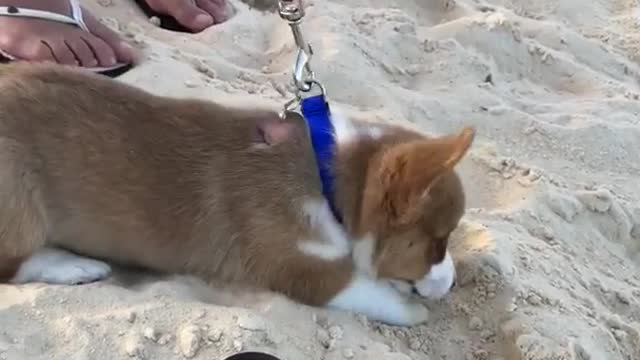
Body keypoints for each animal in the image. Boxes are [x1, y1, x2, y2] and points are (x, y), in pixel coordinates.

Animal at [0, 64, 470, 326]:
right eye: (436, 241)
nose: (451, 285)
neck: (328, 177)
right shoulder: (303, 271)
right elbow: (368, 291)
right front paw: (412, 309)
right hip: (18, 197)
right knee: (12, 263)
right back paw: (71, 266)